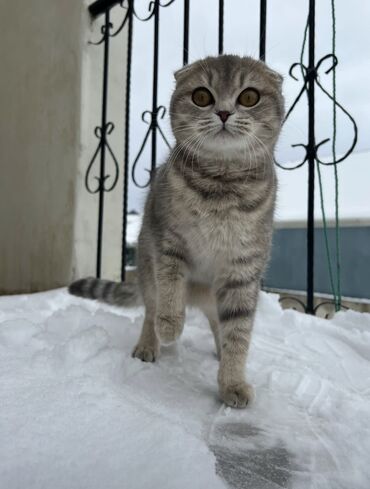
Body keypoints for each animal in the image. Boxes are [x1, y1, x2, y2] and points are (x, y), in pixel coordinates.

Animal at [68, 54, 284, 408]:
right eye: (202, 96)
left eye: (249, 97)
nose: (224, 112)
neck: (221, 187)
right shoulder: (168, 243)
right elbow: (169, 290)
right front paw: (170, 326)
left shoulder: (243, 268)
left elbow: (238, 332)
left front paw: (232, 382)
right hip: (146, 264)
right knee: (151, 308)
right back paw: (149, 343)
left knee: (218, 323)